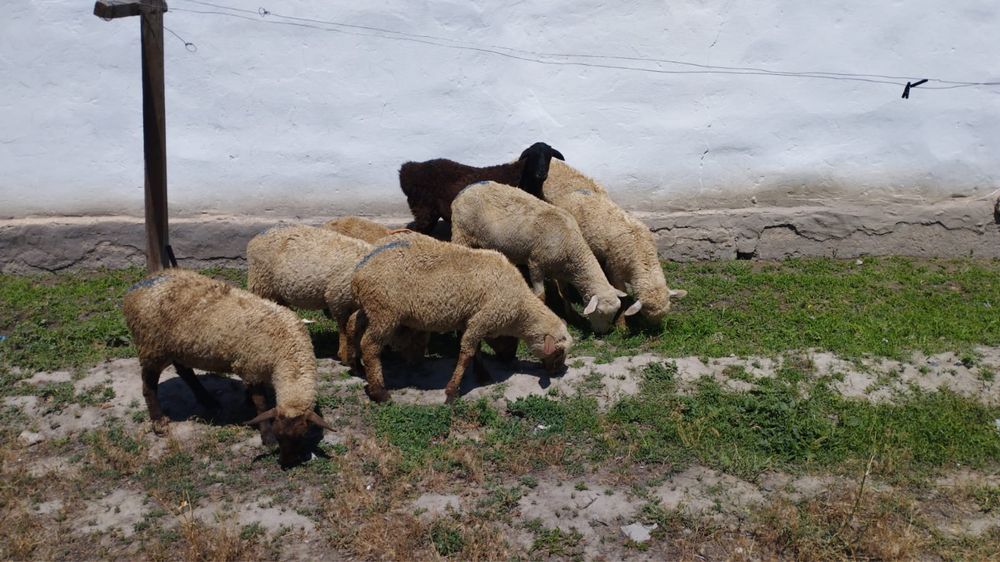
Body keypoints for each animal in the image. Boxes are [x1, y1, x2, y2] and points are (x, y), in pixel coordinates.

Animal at [122, 268, 333, 468]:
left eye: (301, 436)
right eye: (279, 435)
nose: (286, 463)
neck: (287, 349)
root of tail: (136, 288)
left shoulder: (258, 368)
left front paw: (247, 400)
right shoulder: (251, 366)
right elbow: (261, 404)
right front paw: (267, 437)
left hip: (178, 346)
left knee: (185, 372)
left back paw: (208, 400)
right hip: (151, 345)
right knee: (148, 386)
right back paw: (159, 422)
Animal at [350, 233, 572, 403]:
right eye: (559, 352)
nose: (556, 372)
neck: (519, 306)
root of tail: (360, 268)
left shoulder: (471, 319)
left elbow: (476, 350)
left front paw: (482, 375)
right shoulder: (484, 318)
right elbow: (467, 353)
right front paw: (452, 392)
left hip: (370, 309)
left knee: (353, 325)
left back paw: (356, 366)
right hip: (385, 313)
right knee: (370, 346)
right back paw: (380, 393)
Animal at [450, 180, 624, 333]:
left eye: (614, 313)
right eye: (600, 313)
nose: (602, 333)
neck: (572, 249)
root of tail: (466, 189)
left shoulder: (560, 270)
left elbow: (565, 293)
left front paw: (572, 316)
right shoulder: (535, 264)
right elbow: (540, 296)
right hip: (461, 233)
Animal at [541, 160, 687, 325]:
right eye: (646, 315)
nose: (652, 332)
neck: (640, 249)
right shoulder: (616, 270)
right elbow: (623, 296)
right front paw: (621, 322)